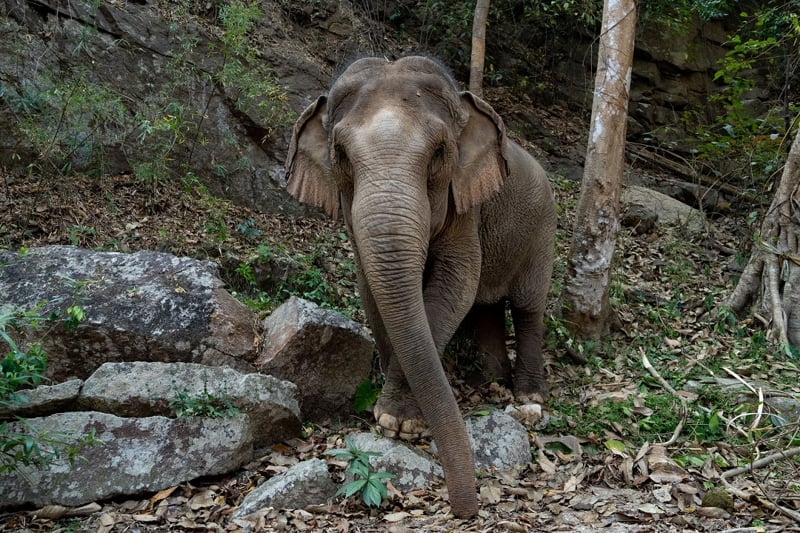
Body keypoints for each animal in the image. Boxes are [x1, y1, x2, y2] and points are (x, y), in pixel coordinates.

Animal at [286, 54, 556, 516]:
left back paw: (527, 399)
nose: (467, 509)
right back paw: (489, 381)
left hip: (543, 231)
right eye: (340, 154)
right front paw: (392, 417)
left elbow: (456, 285)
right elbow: (371, 286)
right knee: (486, 304)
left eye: (440, 152)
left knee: (527, 306)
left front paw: (398, 421)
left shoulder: (466, 205)